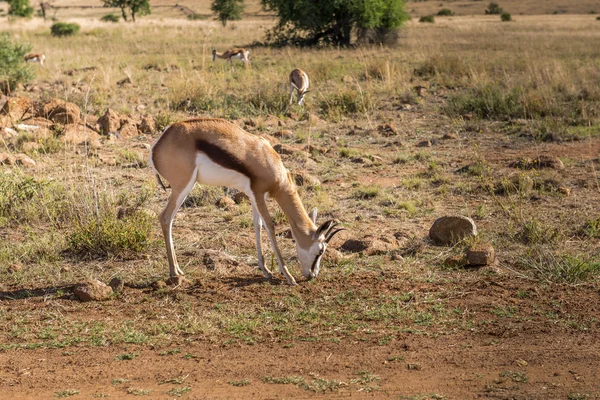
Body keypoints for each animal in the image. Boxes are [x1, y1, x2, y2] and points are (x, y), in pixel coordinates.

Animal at [149, 118, 344, 284]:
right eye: (320, 251)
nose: (312, 275)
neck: (269, 161)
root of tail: (157, 145)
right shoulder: (259, 194)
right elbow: (270, 227)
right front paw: (288, 276)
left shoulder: (253, 196)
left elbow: (257, 226)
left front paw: (266, 270)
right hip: (184, 186)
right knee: (165, 217)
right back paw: (174, 273)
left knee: (169, 219)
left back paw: (178, 270)